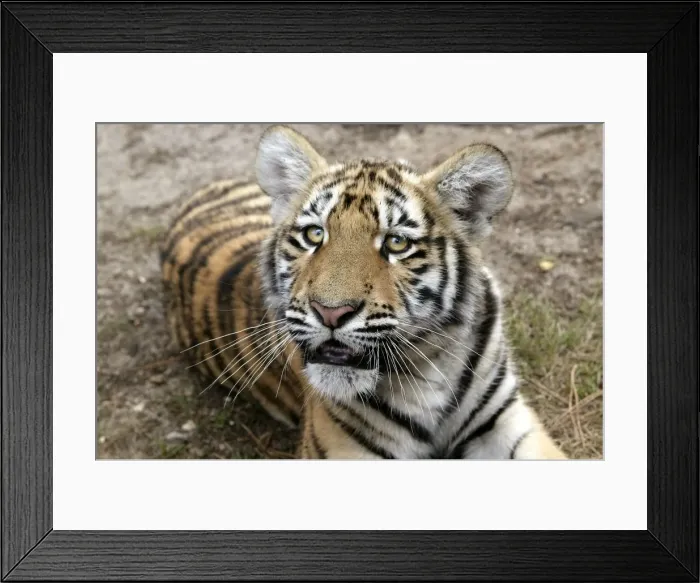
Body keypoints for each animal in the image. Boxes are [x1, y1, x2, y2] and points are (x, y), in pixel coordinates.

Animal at [160, 125, 566, 459]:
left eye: (397, 242)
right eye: (314, 234)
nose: (330, 312)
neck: (431, 363)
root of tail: (206, 186)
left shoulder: (504, 421)